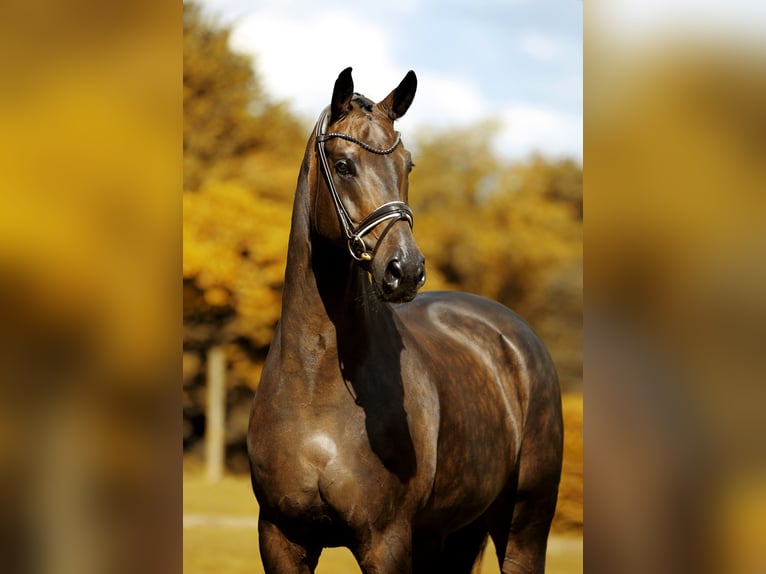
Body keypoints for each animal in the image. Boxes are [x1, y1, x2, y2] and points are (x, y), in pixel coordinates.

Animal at [249, 68, 568, 574]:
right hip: (449, 534)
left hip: (524, 524)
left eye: (408, 165)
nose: (406, 269)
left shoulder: (386, 540)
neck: (315, 383)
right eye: (344, 165)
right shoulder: (281, 538)